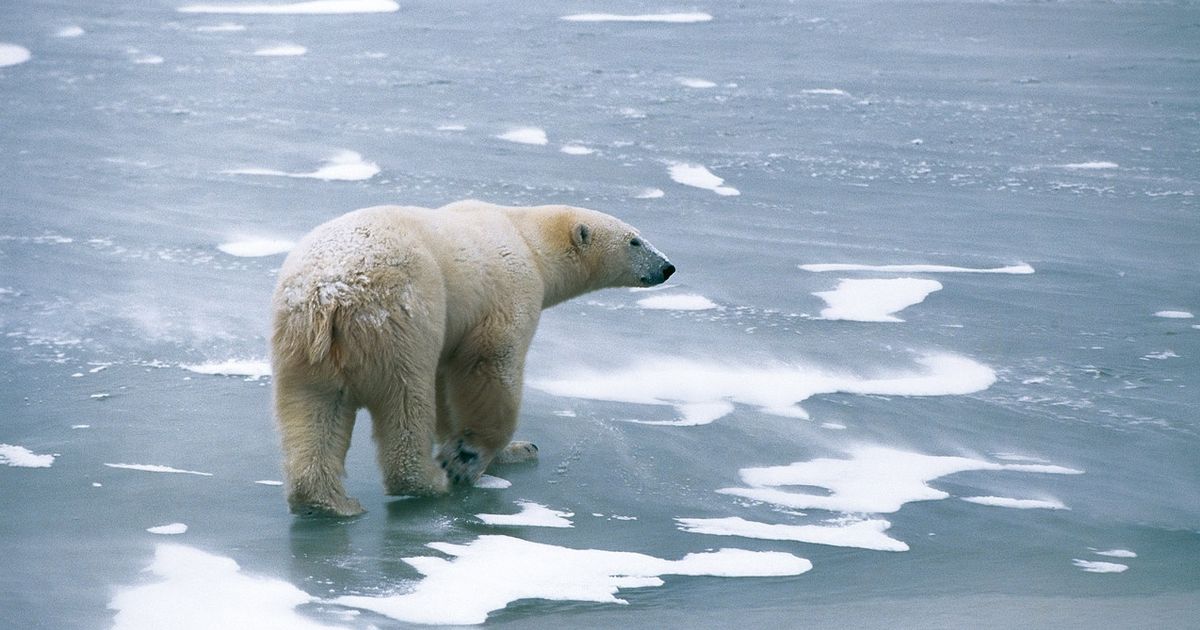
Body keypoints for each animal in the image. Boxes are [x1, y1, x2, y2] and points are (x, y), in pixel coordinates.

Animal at [270, 199, 676, 513]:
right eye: (635, 240)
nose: (667, 267)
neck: (528, 239)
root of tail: (330, 294)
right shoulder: (509, 290)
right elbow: (490, 365)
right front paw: (476, 456)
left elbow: (447, 381)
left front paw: (487, 447)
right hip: (400, 316)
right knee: (405, 398)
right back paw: (430, 481)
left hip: (302, 344)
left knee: (314, 409)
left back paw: (329, 503)